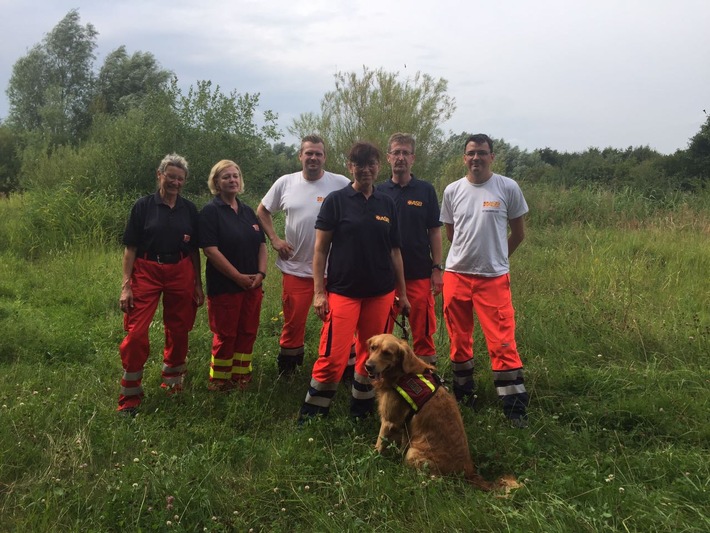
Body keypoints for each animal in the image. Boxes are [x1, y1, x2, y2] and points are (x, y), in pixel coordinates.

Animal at [368, 332, 516, 490]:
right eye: (373, 348)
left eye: (387, 353)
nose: (368, 366)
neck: (402, 373)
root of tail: (469, 471)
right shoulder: (404, 426)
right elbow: (402, 443)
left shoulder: (389, 421)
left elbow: (379, 444)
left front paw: (373, 458)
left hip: (413, 453)